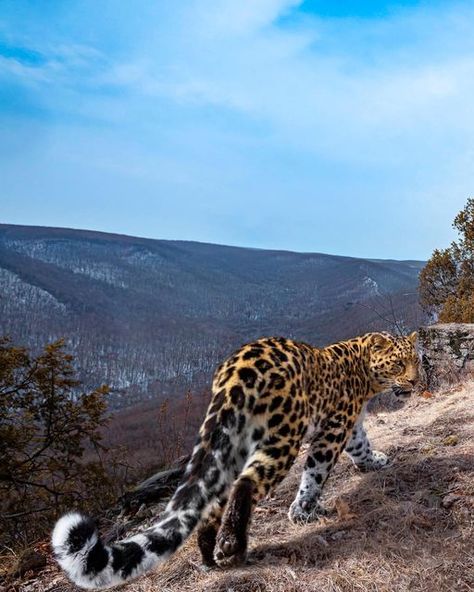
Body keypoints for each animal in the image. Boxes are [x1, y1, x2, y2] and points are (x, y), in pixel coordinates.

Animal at [53, 330, 420, 588]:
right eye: (398, 363)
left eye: (415, 359)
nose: (416, 380)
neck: (364, 375)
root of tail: (233, 374)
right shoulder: (333, 428)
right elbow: (316, 470)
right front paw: (303, 510)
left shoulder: (349, 425)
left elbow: (361, 445)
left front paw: (374, 461)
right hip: (283, 435)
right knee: (247, 483)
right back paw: (232, 545)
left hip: (231, 443)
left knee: (214, 500)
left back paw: (209, 553)